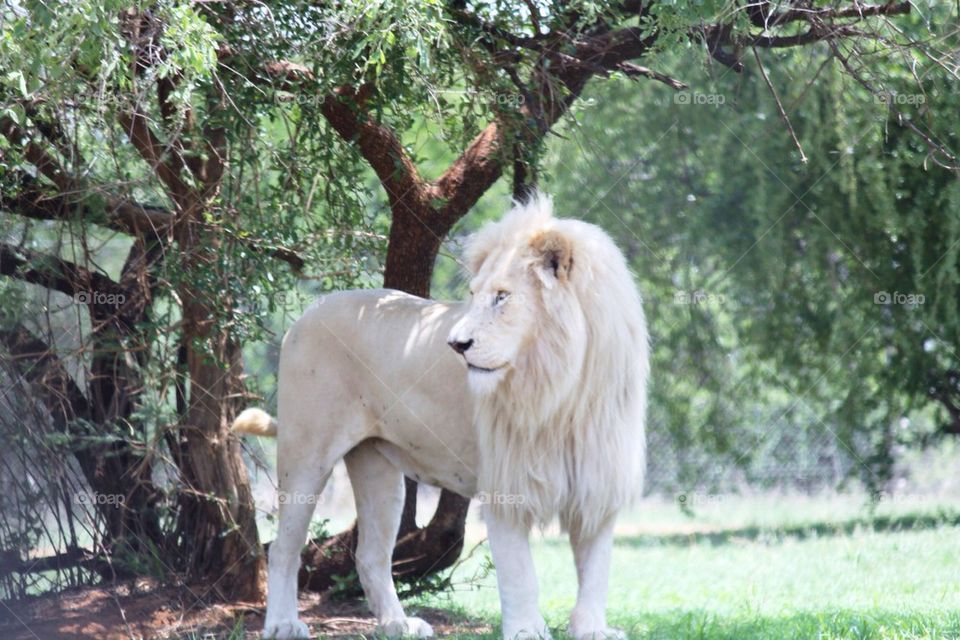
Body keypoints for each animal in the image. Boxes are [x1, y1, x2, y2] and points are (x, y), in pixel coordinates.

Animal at [233, 193, 649, 640]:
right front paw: (526, 630)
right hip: (306, 454)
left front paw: (592, 629)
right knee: (283, 549)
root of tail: (305, 315)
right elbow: (521, 575)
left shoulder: (597, 480)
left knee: (370, 555)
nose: (456, 344)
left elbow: (596, 572)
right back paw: (282, 624)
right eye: (474, 293)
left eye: (502, 296)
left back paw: (398, 625)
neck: (563, 388)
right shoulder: (505, 485)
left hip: (379, 470)